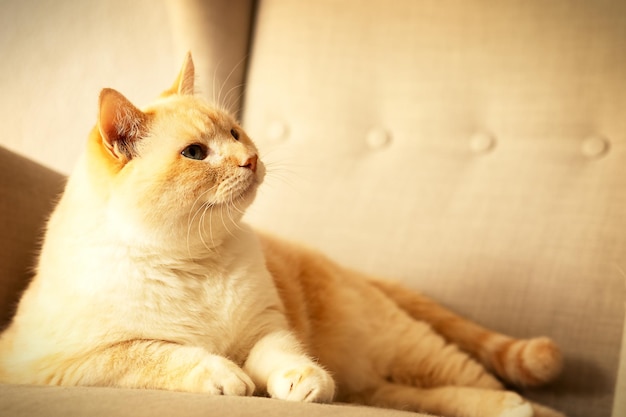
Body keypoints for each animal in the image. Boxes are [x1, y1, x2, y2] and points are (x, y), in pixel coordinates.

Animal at [0, 53, 564, 416]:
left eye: (234, 133)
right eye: (195, 154)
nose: (249, 159)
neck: (192, 263)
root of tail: (349, 268)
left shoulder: (266, 327)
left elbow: (282, 355)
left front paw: (301, 381)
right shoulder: (59, 362)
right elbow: (152, 352)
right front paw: (226, 377)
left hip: (415, 351)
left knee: (497, 391)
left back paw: (519, 407)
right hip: (382, 385)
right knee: (421, 398)